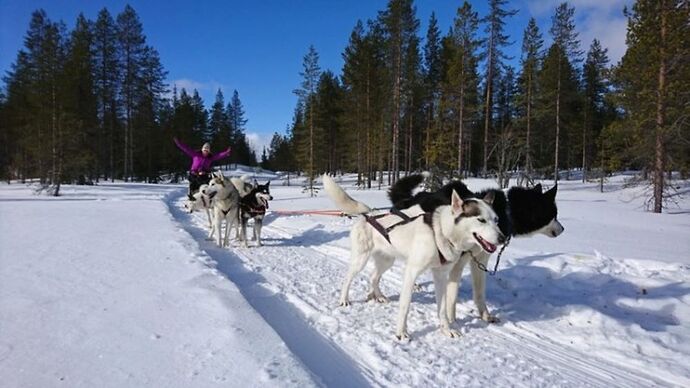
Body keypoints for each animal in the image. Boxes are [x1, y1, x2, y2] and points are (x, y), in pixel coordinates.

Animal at [320, 174, 502, 340]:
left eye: (496, 220)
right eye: (481, 219)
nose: (502, 238)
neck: (440, 232)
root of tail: (370, 214)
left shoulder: (441, 276)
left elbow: (442, 308)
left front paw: (446, 330)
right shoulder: (411, 272)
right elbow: (405, 306)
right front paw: (401, 332)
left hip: (387, 261)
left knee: (373, 277)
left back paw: (378, 296)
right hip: (360, 260)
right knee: (348, 279)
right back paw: (344, 300)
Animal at [388, 174, 564, 322]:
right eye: (554, 214)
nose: (563, 229)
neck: (507, 210)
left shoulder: (479, 260)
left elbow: (479, 293)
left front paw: (485, 315)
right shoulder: (457, 264)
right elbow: (451, 297)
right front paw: (452, 321)